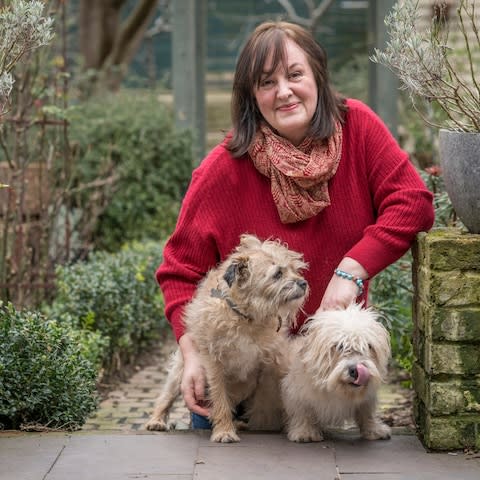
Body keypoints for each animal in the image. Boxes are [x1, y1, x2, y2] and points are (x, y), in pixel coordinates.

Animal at [144, 232, 308, 442]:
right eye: (277, 274)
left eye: (294, 269)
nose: (303, 283)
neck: (246, 318)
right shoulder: (214, 365)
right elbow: (220, 398)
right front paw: (224, 431)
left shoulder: (269, 365)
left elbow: (265, 401)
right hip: (180, 372)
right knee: (167, 396)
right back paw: (156, 420)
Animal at [282, 304, 390, 442]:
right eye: (339, 346)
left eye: (368, 346)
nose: (355, 370)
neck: (336, 389)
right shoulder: (296, 393)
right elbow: (303, 412)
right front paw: (305, 431)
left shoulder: (367, 398)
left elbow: (367, 413)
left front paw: (373, 429)